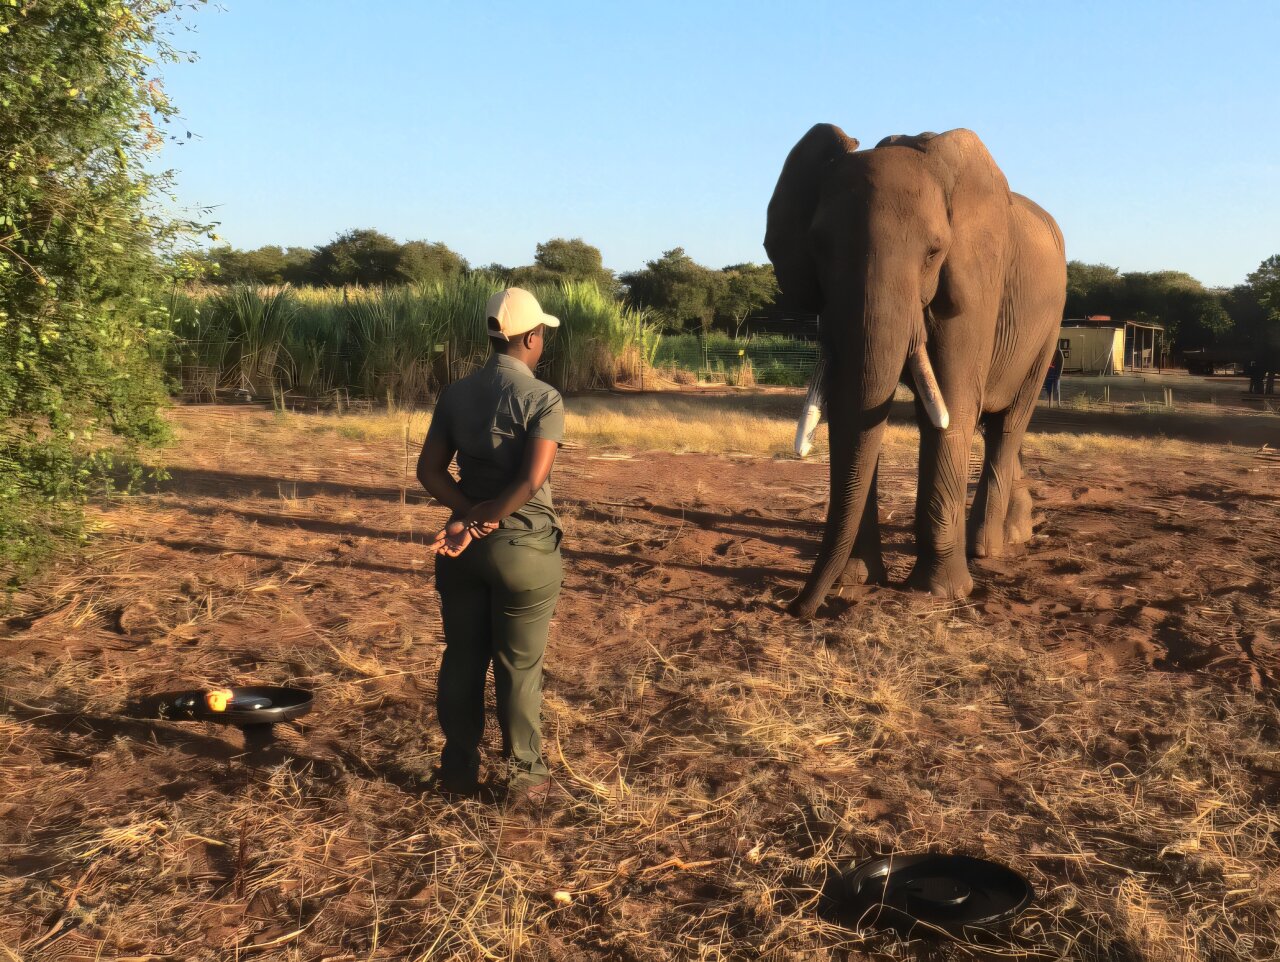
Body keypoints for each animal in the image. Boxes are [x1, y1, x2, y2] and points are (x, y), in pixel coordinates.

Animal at [764, 125, 1067, 618]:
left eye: (933, 252)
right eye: (819, 247)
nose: (796, 607)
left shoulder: (975, 285)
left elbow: (952, 408)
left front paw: (939, 593)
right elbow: (854, 410)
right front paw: (856, 581)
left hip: (1048, 330)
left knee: (1008, 424)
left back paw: (988, 548)